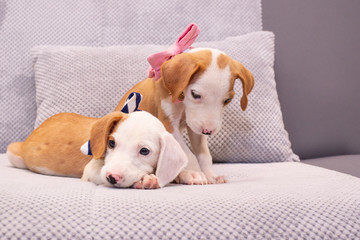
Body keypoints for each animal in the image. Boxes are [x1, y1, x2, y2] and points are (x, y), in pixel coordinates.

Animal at [6, 111, 188, 189]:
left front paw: (186, 174)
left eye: (144, 151)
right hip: (13, 152)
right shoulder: (91, 169)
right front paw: (144, 180)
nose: (112, 177)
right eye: (111, 143)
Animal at [116, 47, 255, 185]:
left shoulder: (196, 130)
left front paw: (210, 175)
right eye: (195, 94)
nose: (208, 131)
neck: (182, 99)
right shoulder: (169, 125)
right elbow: (187, 154)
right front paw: (194, 173)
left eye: (227, 100)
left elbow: (204, 154)